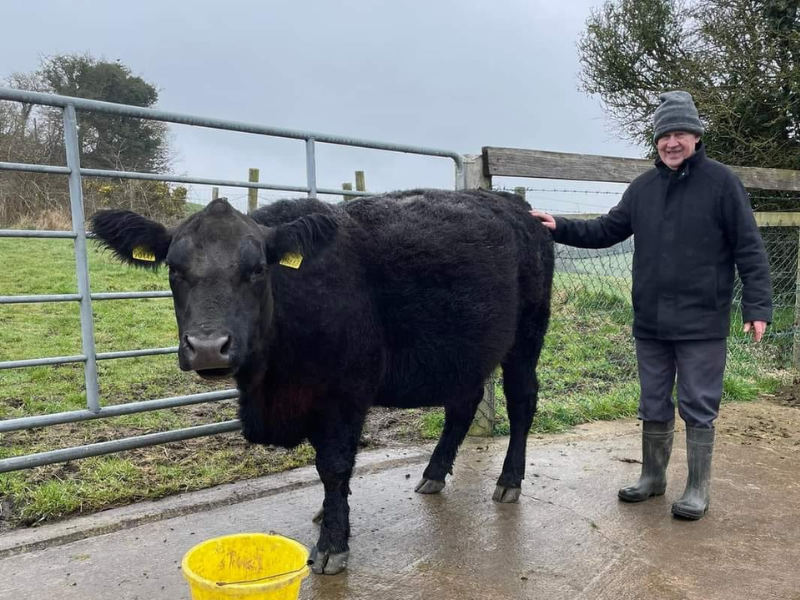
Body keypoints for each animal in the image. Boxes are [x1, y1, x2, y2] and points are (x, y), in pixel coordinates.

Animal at [91, 188, 554, 575]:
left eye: (258, 269)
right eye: (174, 268)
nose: (207, 347)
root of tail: (513, 203)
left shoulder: (344, 395)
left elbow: (333, 466)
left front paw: (333, 542)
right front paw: (331, 514)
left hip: (526, 337)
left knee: (521, 402)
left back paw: (508, 481)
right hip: (464, 353)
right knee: (463, 403)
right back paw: (434, 473)